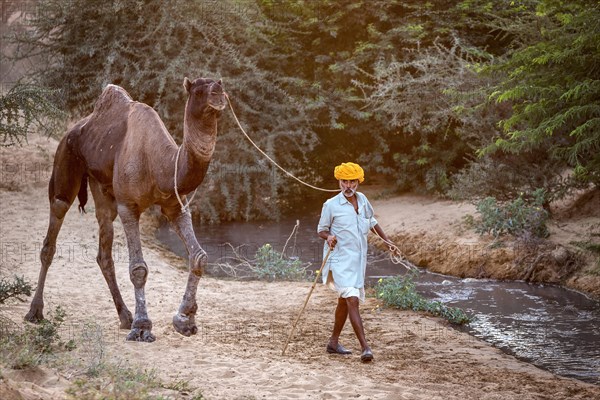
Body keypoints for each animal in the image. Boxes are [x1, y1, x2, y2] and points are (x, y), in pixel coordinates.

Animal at [22, 77, 225, 340]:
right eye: (199, 90)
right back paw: (34, 311)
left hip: (101, 187)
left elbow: (199, 257)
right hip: (64, 165)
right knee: (53, 229)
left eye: (220, 83)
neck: (162, 166)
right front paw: (143, 327)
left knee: (104, 248)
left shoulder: (176, 206)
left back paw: (124, 316)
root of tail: (74, 128)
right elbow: (138, 269)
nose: (219, 92)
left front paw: (184, 319)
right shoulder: (129, 206)